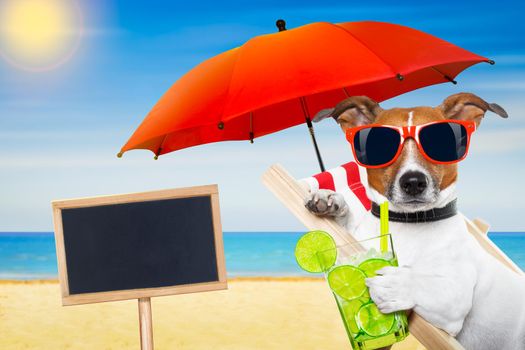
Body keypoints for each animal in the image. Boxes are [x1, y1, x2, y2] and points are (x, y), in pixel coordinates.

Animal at [302, 93, 524, 350]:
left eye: (441, 142)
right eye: (379, 145)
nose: (414, 182)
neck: (408, 223)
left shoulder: (454, 300)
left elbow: (423, 284)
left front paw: (396, 283)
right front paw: (329, 200)